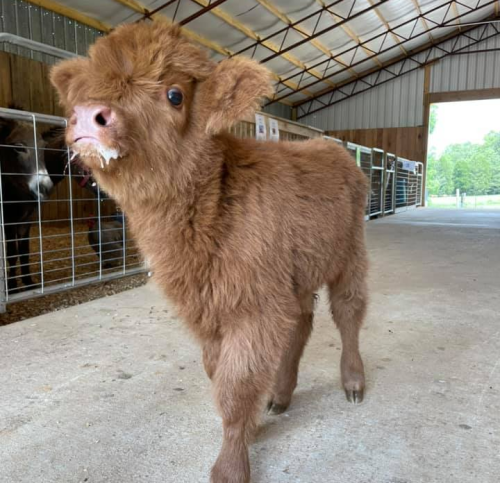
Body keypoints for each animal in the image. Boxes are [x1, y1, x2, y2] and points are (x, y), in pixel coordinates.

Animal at [50, 21, 370, 483]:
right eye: (83, 90)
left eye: (175, 94)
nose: (90, 114)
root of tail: (330, 146)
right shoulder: (208, 312)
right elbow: (218, 376)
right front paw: (252, 427)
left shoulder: (254, 311)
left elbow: (235, 388)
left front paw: (231, 466)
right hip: (295, 276)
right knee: (302, 324)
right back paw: (280, 395)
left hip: (350, 256)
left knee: (348, 313)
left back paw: (353, 383)